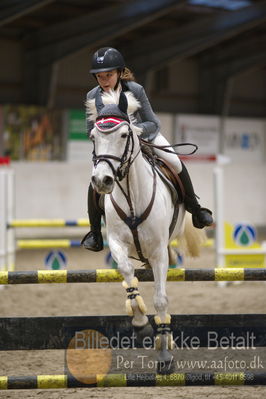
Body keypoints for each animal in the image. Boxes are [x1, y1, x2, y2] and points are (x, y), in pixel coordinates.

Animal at [88, 89, 206, 374]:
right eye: (93, 137)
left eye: (124, 135)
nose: (102, 181)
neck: (132, 197)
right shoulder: (117, 244)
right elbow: (128, 275)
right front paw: (140, 323)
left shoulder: (157, 252)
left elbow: (161, 299)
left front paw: (164, 354)